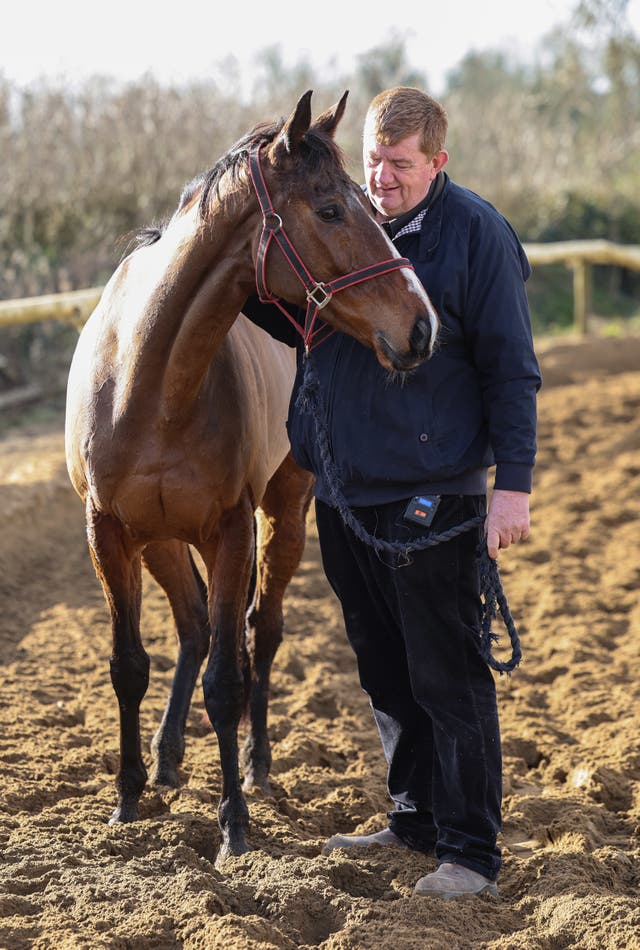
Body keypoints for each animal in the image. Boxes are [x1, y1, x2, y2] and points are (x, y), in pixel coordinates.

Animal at [65, 93, 440, 868]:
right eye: (330, 209)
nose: (421, 327)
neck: (149, 382)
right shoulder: (108, 534)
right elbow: (128, 665)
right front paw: (126, 801)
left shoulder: (232, 530)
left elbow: (228, 678)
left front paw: (233, 823)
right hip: (160, 540)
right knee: (193, 627)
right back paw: (168, 758)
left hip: (281, 516)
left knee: (256, 633)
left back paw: (257, 766)